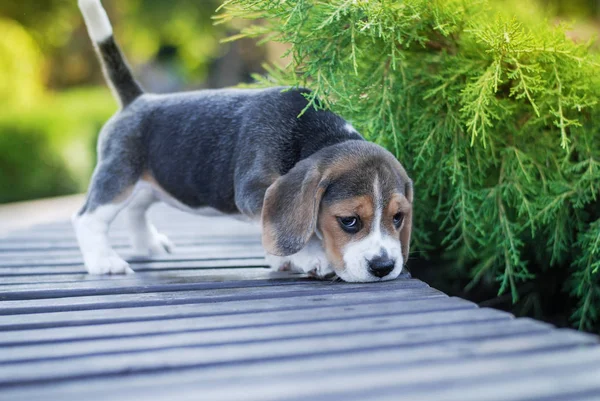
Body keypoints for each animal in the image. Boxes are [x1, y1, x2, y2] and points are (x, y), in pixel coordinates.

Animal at [74, 0, 412, 282]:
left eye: (398, 218)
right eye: (349, 221)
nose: (383, 267)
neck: (313, 133)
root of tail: (137, 100)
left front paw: (282, 259)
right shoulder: (253, 191)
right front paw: (310, 255)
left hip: (150, 182)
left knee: (137, 209)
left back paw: (148, 244)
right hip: (119, 176)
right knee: (89, 219)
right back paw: (104, 261)